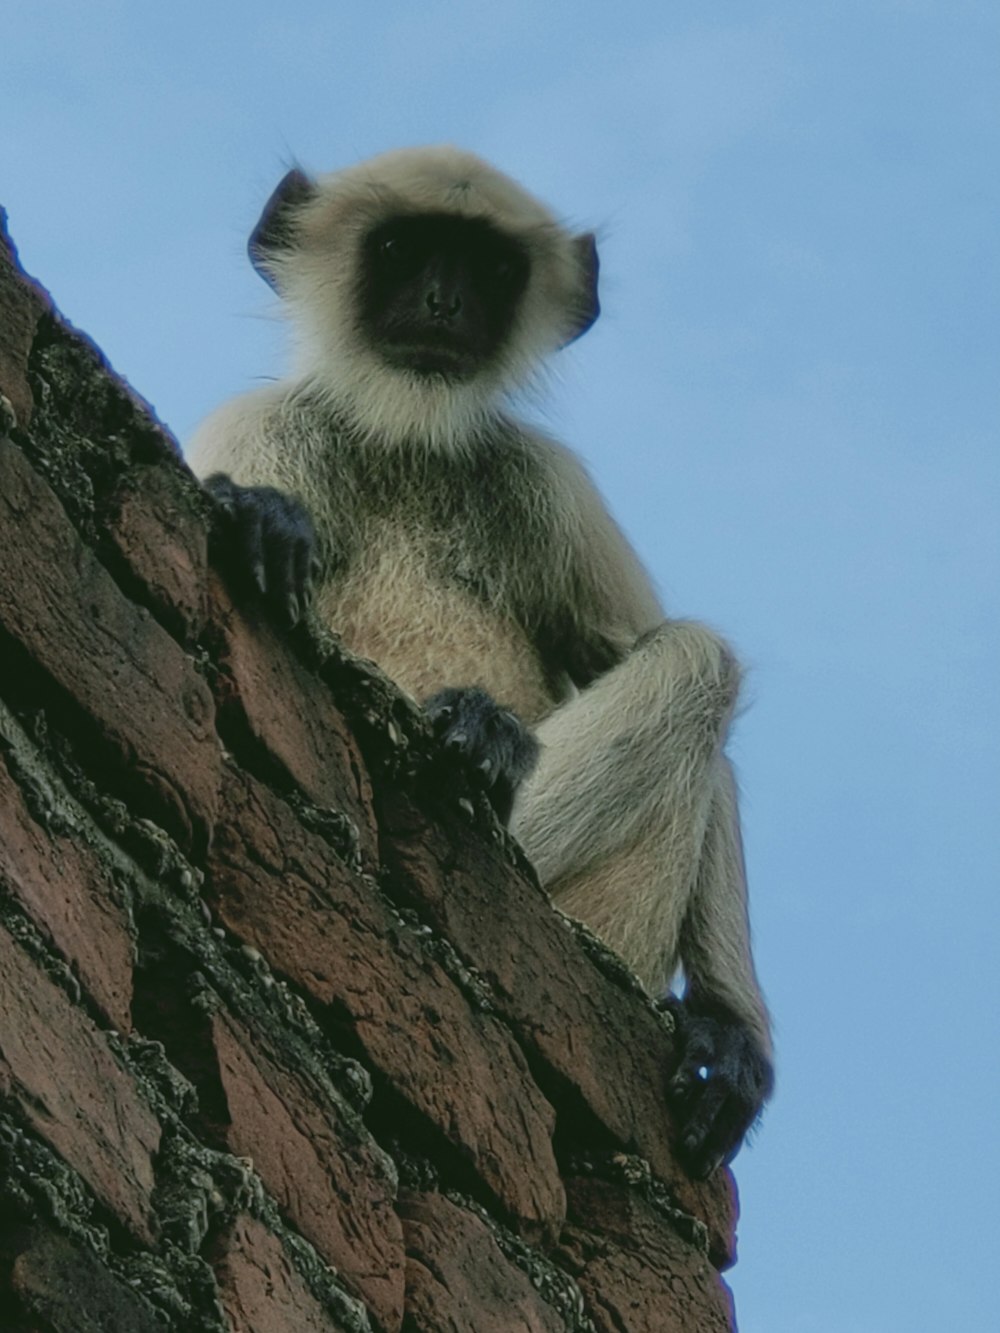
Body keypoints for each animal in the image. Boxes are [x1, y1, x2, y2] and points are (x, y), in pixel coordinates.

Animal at [192, 140, 778, 1173]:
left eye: (489, 269)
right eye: (401, 248)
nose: (442, 300)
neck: (408, 438)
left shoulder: (545, 481)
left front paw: (730, 1026)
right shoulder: (268, 427)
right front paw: (261, 519)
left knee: (694, 664)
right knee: (698, 664)